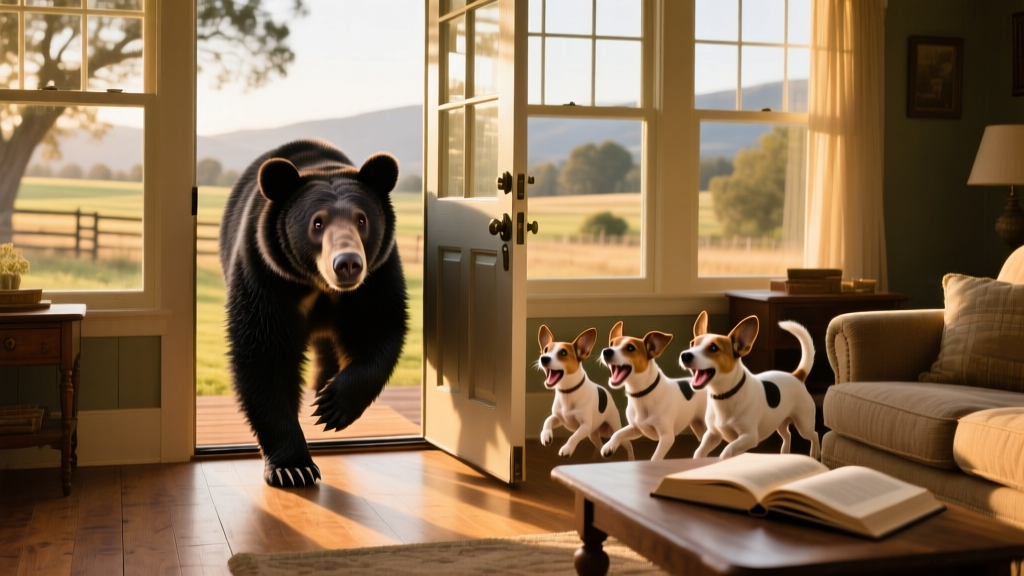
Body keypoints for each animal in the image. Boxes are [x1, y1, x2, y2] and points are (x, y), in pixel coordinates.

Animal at [219, 138, 408, 488]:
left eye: (362, 219)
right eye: (317, 222)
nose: (347, 263)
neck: (318, 284)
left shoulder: (377, 275)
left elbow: (378, 327)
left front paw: (332, 406)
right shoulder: (266, 275)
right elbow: (264, 353)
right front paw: (293, 468)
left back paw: (322, 385)